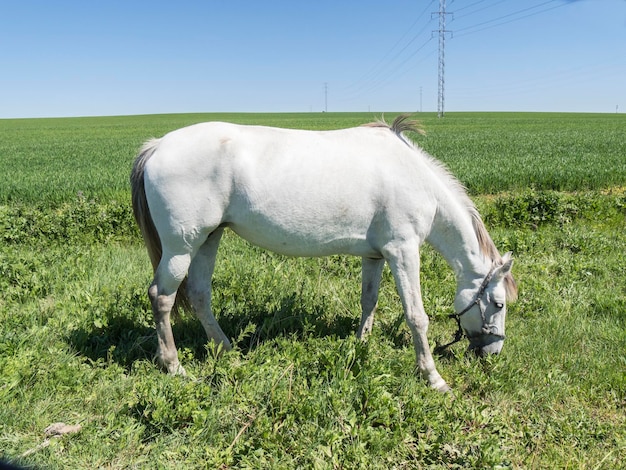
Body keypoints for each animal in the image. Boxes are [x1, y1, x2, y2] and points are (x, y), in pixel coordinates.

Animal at [129, 114, 516, 392]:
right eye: (498, 304)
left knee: (199, 295)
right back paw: (174, 366)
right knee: (161, 297)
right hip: (181, 246)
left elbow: (369, 301)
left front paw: (361, 346)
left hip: (209, 239)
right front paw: (433, 378)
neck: (414, 178)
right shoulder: (403, 251)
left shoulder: (376, 256)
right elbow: (416, 316)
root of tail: (158, 146)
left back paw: (228, 350)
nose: (493, 353)